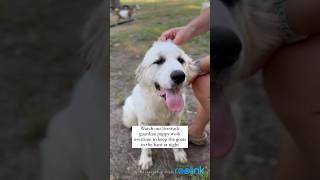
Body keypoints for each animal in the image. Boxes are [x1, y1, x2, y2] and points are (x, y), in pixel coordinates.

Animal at [122, 41, 192, 170]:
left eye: (181, 60)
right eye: (158, 61)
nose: (179, 76)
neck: (161, 104)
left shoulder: (176, 119)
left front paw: (179, 154)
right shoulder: (144, 121)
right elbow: (146, 146)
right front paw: (146, 159)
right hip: (130, 116)